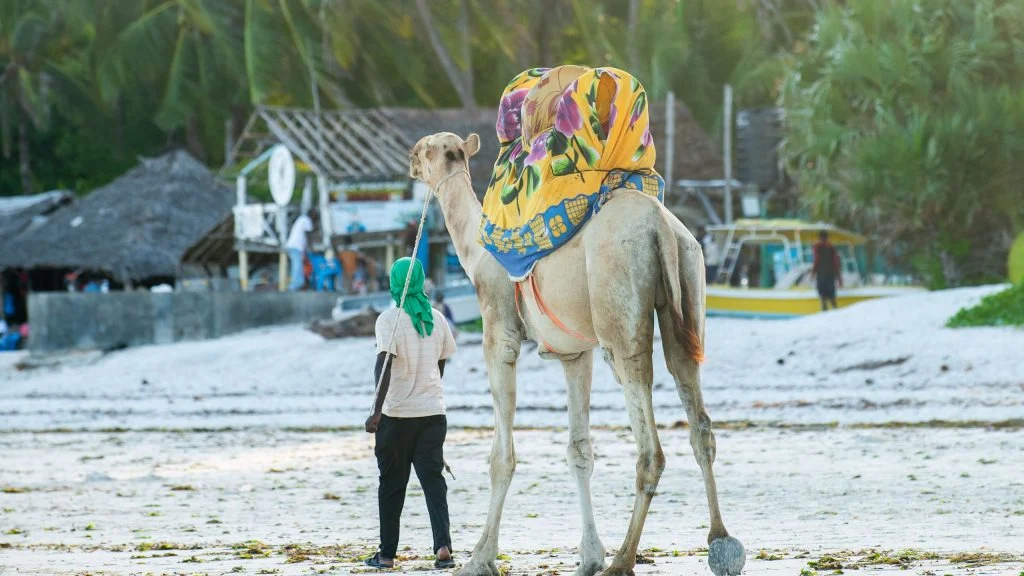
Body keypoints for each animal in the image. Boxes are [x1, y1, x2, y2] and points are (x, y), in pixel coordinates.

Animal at [409, 132, 745, 576]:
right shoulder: (574, 355)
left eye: (425, 148)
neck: (474, 255)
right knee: (697, 415)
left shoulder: (500, 336)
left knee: (650, 444)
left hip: (619, 312)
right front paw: (588, 555)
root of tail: (660, 226)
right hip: (689, 283)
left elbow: (501, 458)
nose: (410, 160)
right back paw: (721, 541)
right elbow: (579, 450)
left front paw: (480, 558)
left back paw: (623, 560)